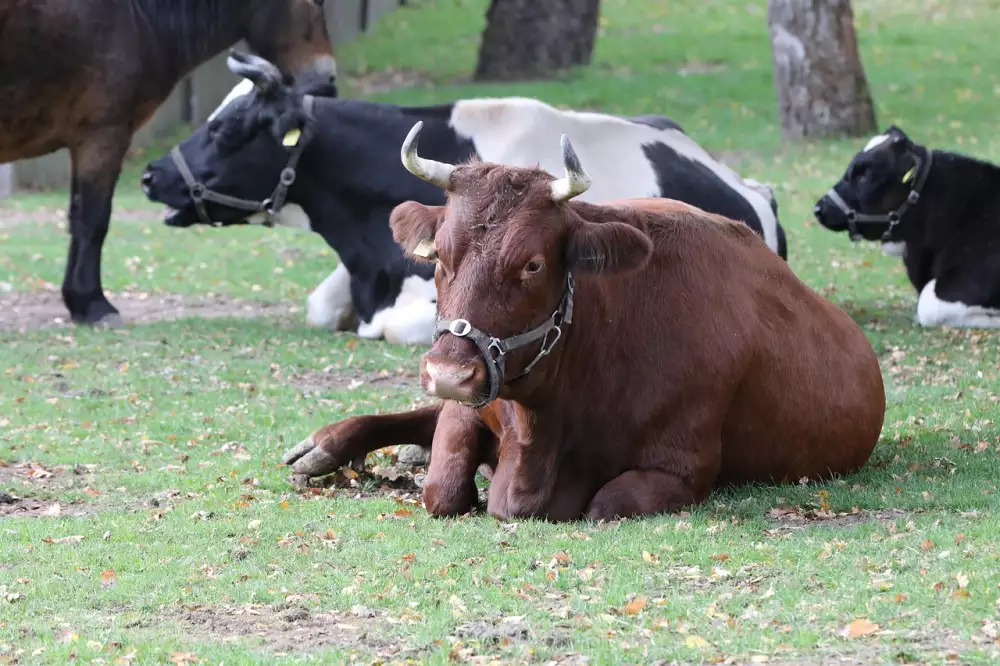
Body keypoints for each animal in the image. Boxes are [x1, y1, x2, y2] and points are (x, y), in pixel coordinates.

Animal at [0, 0, 338, 326]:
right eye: (317, 3)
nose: (328, 83)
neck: (135, 15)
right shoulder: (102, 136)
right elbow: (92, 221)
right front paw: (93, 305)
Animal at [282, 122, 884, 520]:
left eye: (532, 263)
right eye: (439, 257)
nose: (448, 373)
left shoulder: (683, 468)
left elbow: (603, 503)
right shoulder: (470, 408)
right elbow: (444, 487)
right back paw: (327, 446)